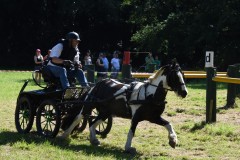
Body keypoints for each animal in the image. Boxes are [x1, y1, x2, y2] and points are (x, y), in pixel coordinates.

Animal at [60, 60, 188, 153]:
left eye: (183, 75)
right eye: (175, 76)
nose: (184, 93)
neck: (150, 95)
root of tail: (97, 84)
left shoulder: (154, 117)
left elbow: (168, 124)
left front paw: (173, 140)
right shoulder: (136, 118)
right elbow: (131, 132)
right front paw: (128, 148)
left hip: (105, 112)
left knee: (93, 123)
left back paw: (94, 140)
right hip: (89, 106)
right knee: (78, 118)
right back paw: (64, 135)